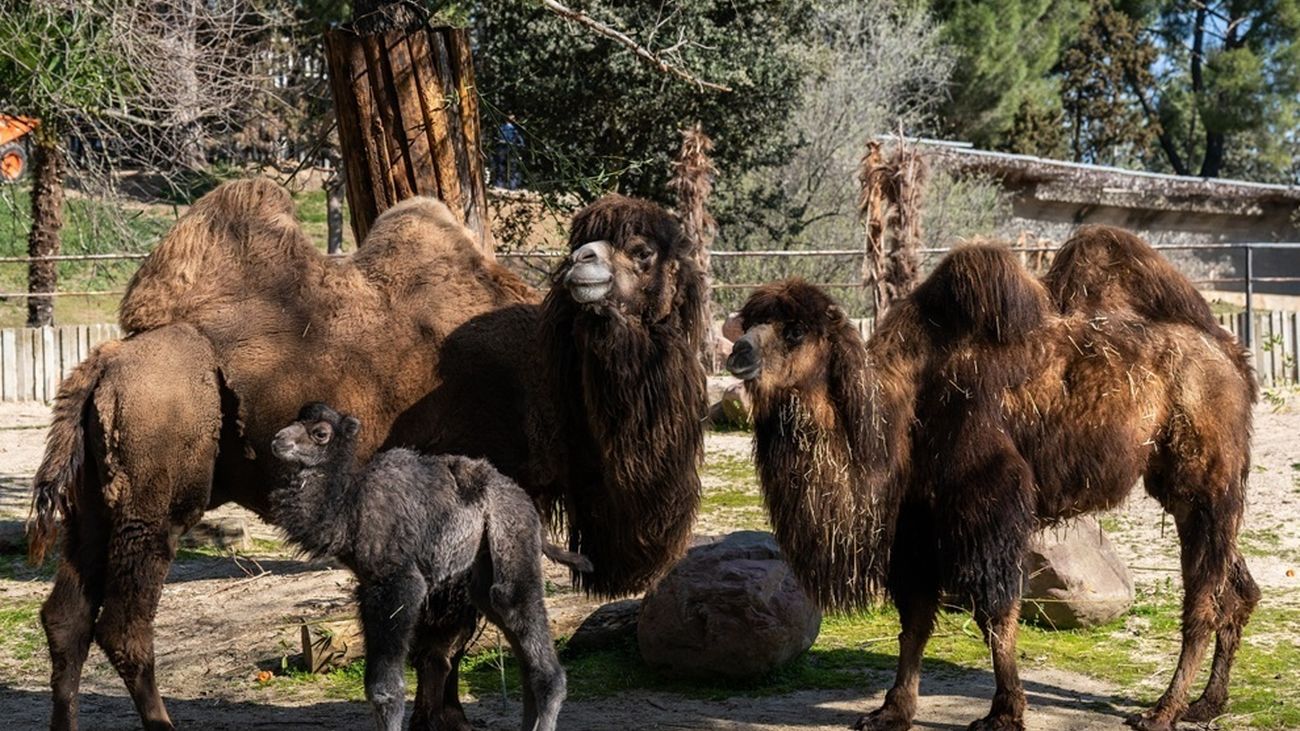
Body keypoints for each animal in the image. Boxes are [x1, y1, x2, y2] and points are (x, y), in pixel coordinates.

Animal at [28, 178, 706, 730]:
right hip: (152, 501)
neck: (546, 372)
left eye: (645, 251)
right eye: (591, 243)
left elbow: (443, 632)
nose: (582, 265)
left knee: (66, 619)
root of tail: (103, 360)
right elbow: (444, 635)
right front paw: (448, 720)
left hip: (94, 506)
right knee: (123, 625)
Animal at [725, 227, 1257, 731]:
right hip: (1182, 487)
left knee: (1203, 601)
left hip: (1206, 477)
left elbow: (995, 612)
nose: (738, 354)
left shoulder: (988, 502)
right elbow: (914, 620)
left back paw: (1162, 711)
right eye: (749, 323)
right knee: (1236, 587)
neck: (899, 410)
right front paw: (891, 711)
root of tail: (1232, 356)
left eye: (795, 331)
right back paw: (1207, 704)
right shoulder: (915, 522)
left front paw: (1003, 712)